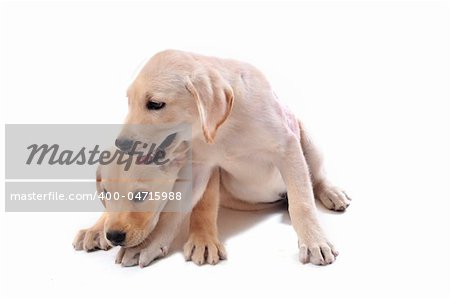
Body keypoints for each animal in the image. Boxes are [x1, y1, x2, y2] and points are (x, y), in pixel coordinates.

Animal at [113, 49, 352, 268]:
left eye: (155, 104)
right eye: (129, 102)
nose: (120, 144)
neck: (225, 129)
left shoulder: (288, 148)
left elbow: (301, 202)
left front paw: (314, 242)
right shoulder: (200, 167)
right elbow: (174, 212)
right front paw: (147, 245)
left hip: (307, 138)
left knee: (316, 178)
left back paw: (332, 193)